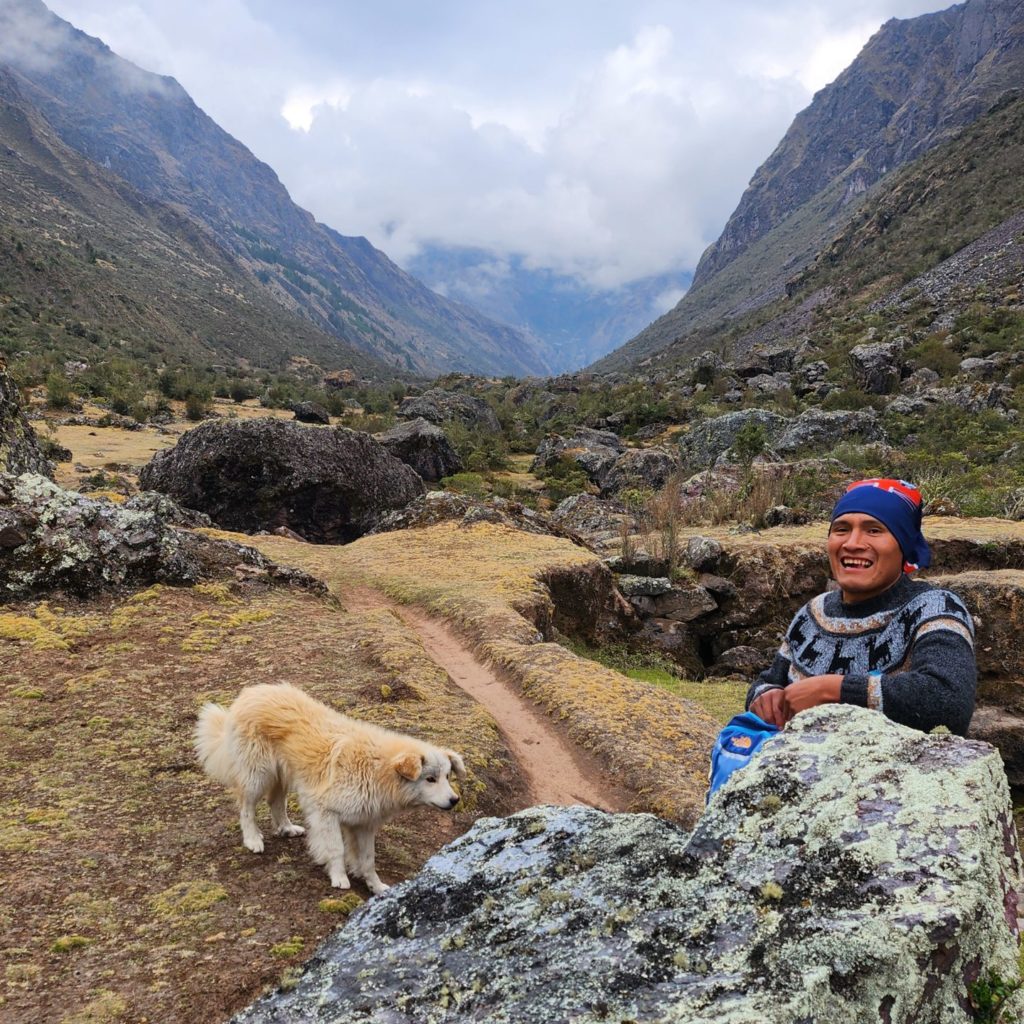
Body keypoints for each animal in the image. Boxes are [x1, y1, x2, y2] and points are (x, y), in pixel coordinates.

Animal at [195, 684, 468, 892]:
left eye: (447, 776)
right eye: (430, 779)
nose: (454, 800)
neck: (378, 768)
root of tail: (250, 693)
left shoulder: (364, 823)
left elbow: (368, 860)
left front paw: (376, 887)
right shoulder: (326, 813)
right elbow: (336, 849)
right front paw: (339, 878)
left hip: (284, 775)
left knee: (275, 801)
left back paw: (286, 828)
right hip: (258, 775)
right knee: (246, 808)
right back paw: (252, 839)